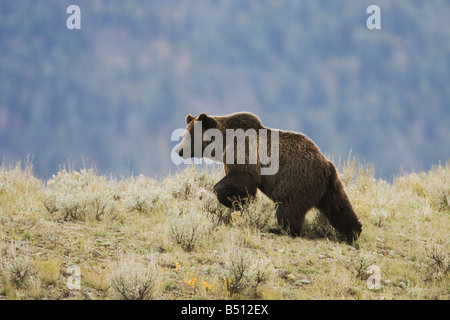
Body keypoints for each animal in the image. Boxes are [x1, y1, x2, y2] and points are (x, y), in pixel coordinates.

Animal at [175, 112, 362, 242]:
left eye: (189, 136)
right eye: (184, 135)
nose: (178, 150)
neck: (223, 143)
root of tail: (326, 165)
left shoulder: (244, 152)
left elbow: (242, 177)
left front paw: (234, 200)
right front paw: (239, 202)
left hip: (297, 180)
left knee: (288, 207)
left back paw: (281, 229)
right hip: (330, 186)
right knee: (339, 207)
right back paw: (354, 232)